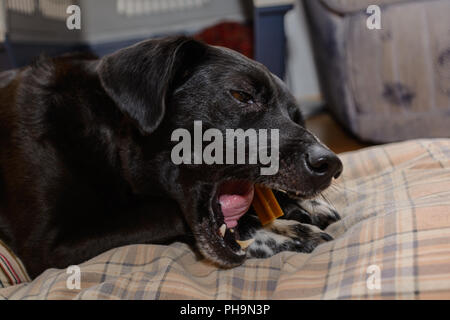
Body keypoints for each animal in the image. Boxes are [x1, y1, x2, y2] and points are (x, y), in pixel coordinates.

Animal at [0, 37, 342, 278]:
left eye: (296, 116)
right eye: (242, 96)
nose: (332, 165)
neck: (106, 135)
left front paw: (300, 207)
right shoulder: (50, 246)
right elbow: (167, 212)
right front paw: (280, 233)